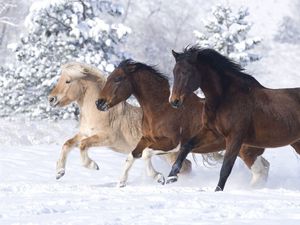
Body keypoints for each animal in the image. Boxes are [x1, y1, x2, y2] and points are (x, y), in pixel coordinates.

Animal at [48, 62, 191, 182]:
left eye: (68, 81)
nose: (51, 99)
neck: (98, 113)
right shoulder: (84, 134)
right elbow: (67, 144)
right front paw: (59, 172)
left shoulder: (107, 138)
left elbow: (83, 145)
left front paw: (93, 165)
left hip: (169, 153)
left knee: (186, 166)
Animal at [96, 59, 268, 186]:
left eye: (118, 79)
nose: (99, 103)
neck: (161, 109)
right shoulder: (146, 139)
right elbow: (132, 156)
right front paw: (121, 183)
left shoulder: (172, 143)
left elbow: (145, 154)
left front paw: (159, 177)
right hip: (248, 151)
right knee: (264, 168)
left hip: (245, 151)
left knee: (260, 171)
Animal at [169, 46, 300, 192]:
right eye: (174, 71)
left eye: (186, 72)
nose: (174, 101)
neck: (224, 98)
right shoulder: (212, 132)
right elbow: (186, 147)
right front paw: (171, 177)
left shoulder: (235, 137)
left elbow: (225, 168)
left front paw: (217, 191)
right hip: (297, 143)